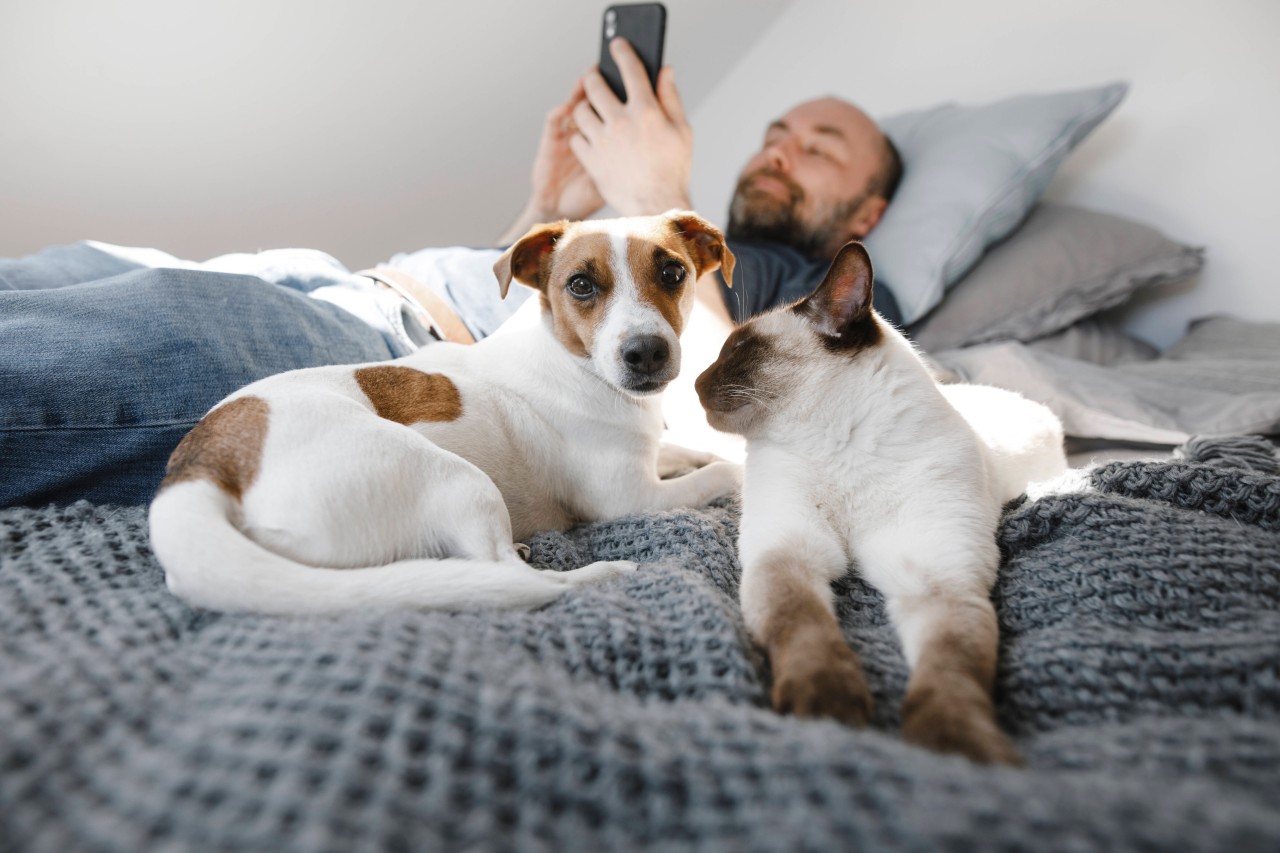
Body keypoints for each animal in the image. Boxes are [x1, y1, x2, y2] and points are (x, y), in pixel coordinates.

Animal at [152, 211, 742, 612]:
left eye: (673, 273)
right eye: (580, 285)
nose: (646, 353)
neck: (572, 360)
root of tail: (199, 468)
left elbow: (689, 450)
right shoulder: (630, 497)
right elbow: (720, 472)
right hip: (458, 480)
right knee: (515, 578)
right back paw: (592, 572)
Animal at [696, 239, 1064, 763]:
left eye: (740, 349)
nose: (693, 382)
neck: (840, 450)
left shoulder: (938, 581)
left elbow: (952, 672)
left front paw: (960, 747)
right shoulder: (788, 554)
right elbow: (804, 627)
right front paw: (827, 708)